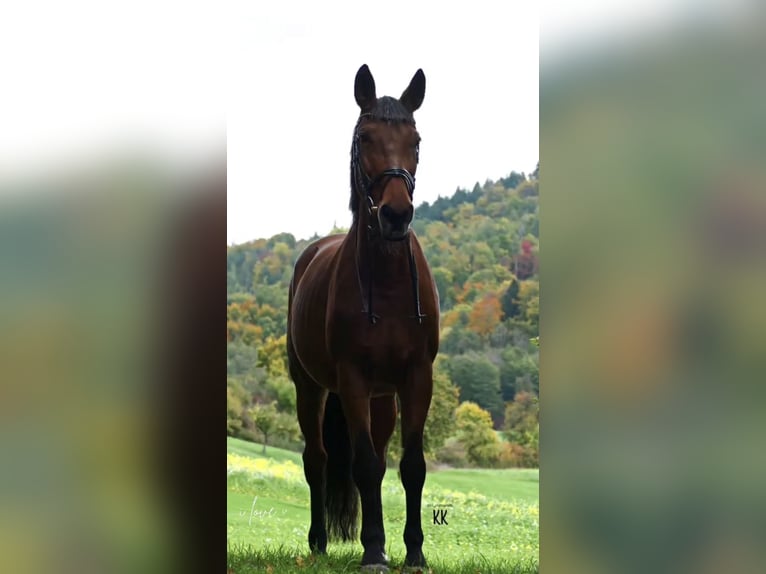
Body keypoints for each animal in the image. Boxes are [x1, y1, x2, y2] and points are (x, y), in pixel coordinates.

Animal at [288, 65, 440, 572]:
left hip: (382, 399)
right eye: (364, 137)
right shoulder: (351, 379)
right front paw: (373, 550)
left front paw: (414, 551)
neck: (389, 284)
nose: (395, 215)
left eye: (416, 140)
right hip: (310, 389)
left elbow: (411, 466)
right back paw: (318, 541)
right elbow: (366, 465)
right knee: (317, 459)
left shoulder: (416, 378)